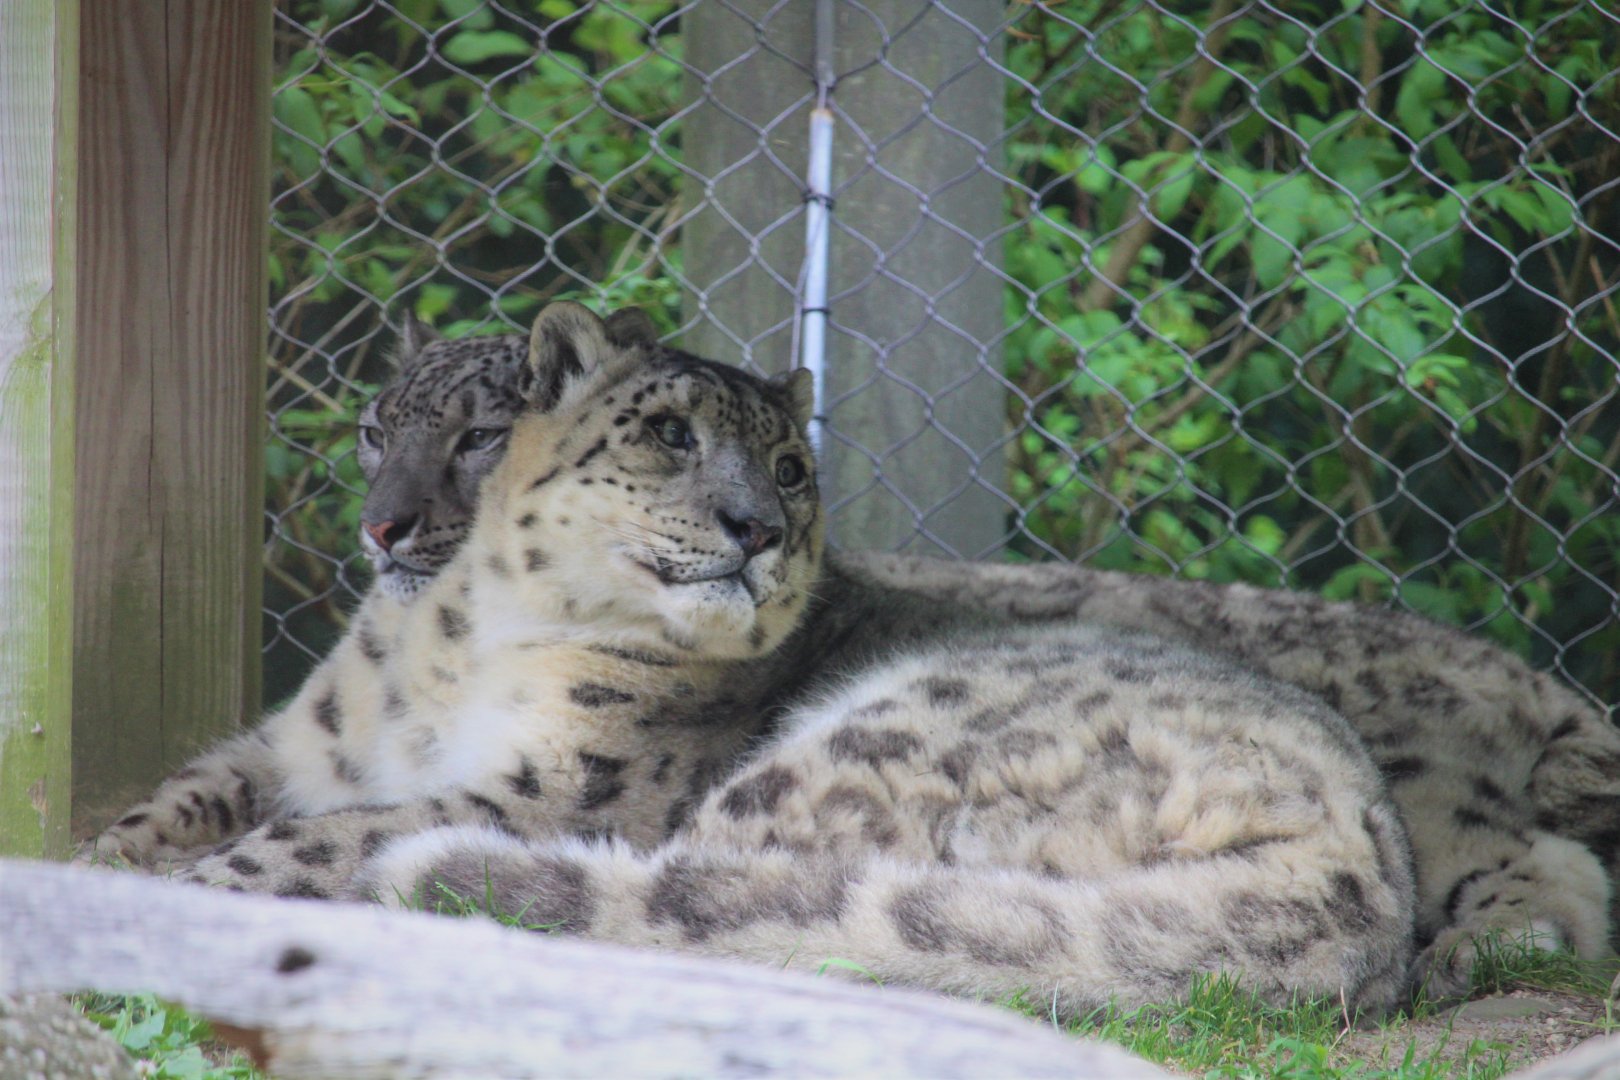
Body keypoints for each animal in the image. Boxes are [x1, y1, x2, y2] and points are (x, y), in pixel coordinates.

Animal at [81, 301, 1420, 1014]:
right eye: (376, 427)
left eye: (789, 467)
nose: (756, 528)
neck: (442, 653)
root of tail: (1369, 866)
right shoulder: (295, 747)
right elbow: (191, 795)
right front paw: (101, 864)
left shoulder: (562, 791)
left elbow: (327, 837)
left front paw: (184, 901)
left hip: (848, 753)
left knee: (699, 906)